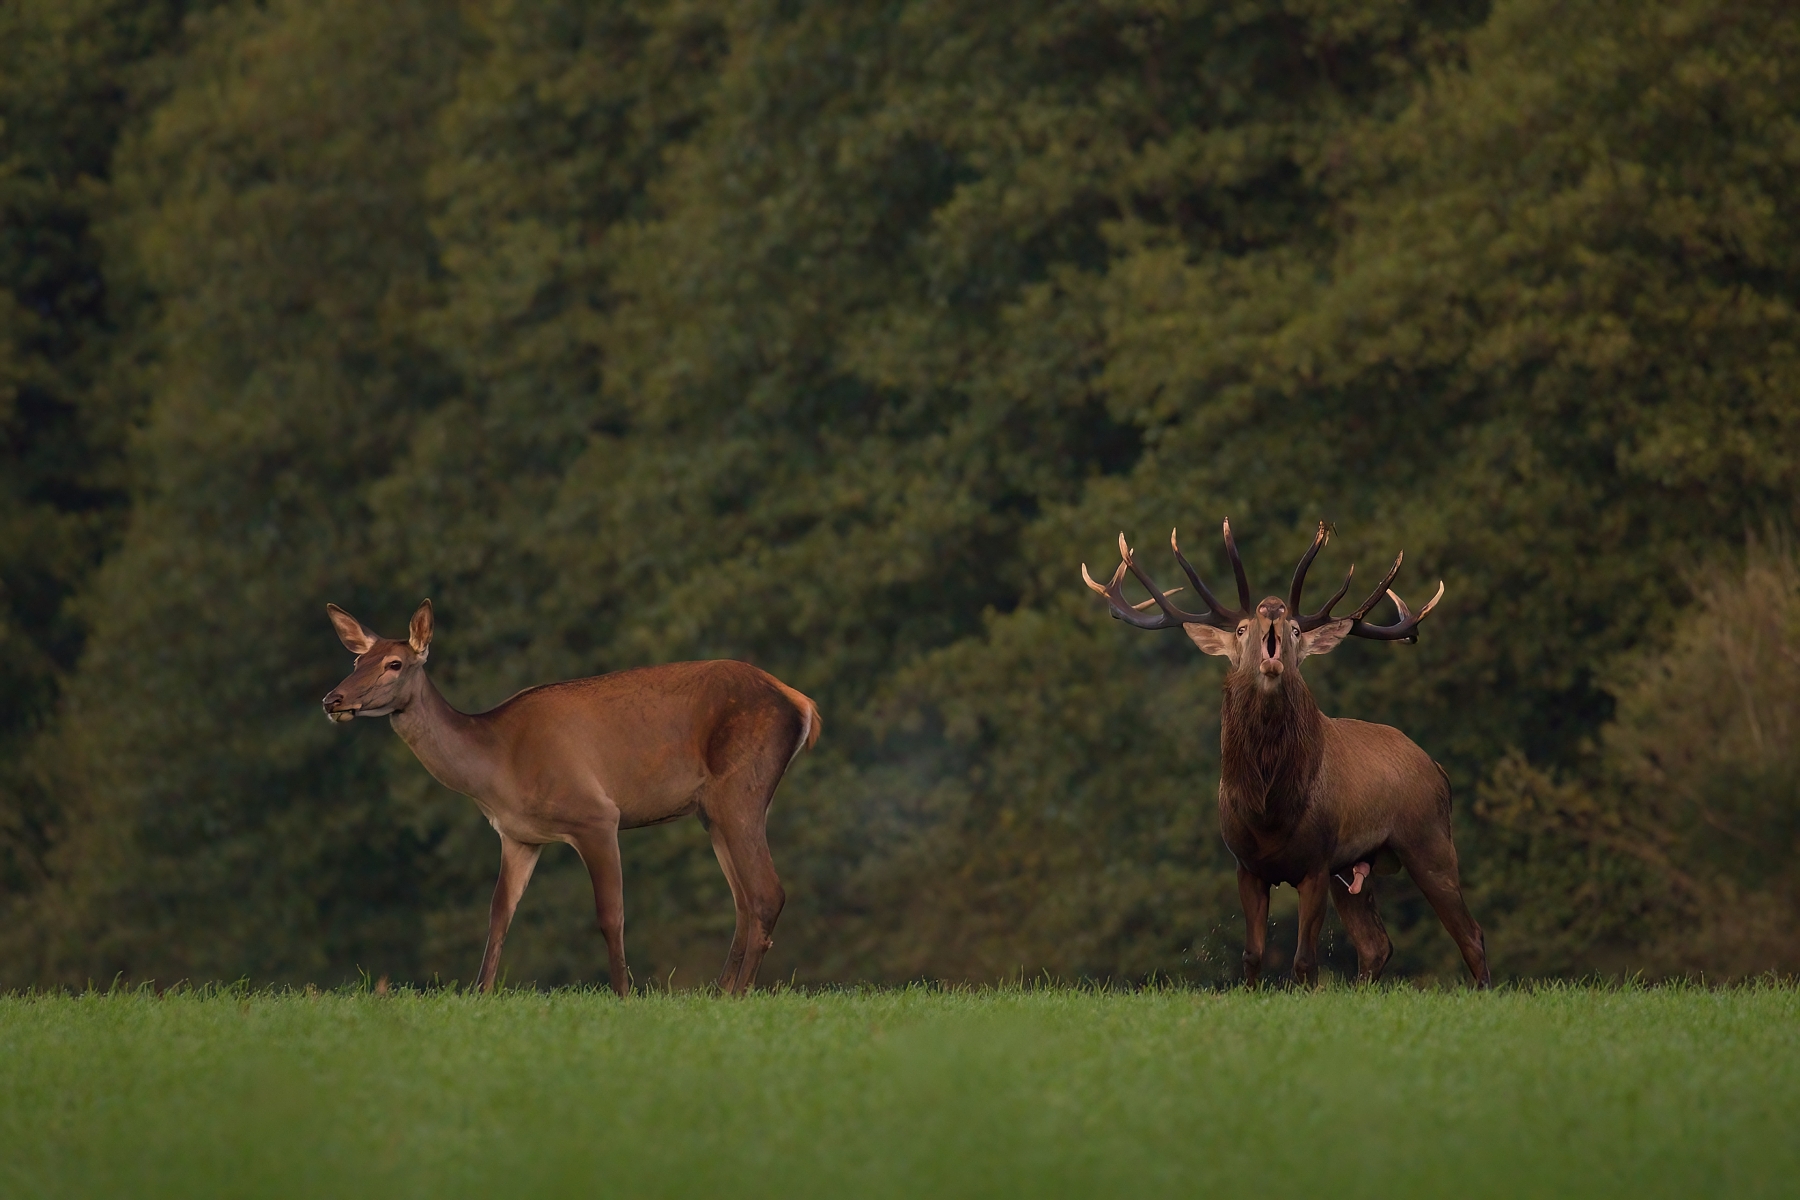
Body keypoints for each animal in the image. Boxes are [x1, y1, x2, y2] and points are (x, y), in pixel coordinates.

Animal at [325, 600, 824, 993]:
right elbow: (499, 915)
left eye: (394, 663)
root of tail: (802, 703)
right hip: (712, 810)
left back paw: (737, 995)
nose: (333, 700)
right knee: (743, 900)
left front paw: (625, 995)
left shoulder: (596, 816)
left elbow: (610, 915)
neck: (498, 766)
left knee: (766, 893)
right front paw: (479, 994)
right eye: (356, 662)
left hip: (741, 786)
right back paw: (721, 993)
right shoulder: (519, 837)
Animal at [1080, 521, 1490, 993]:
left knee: (1470, 932)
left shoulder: (1316, 862)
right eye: (1242, 629)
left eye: (1294, 629)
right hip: (1355, 868)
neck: (1268, 811)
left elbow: (1305, 960)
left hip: (1428, 838)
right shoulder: (1247, 865)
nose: (1272, 607)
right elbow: (1252, 954)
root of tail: (1438, 769)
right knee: (1376, 944)